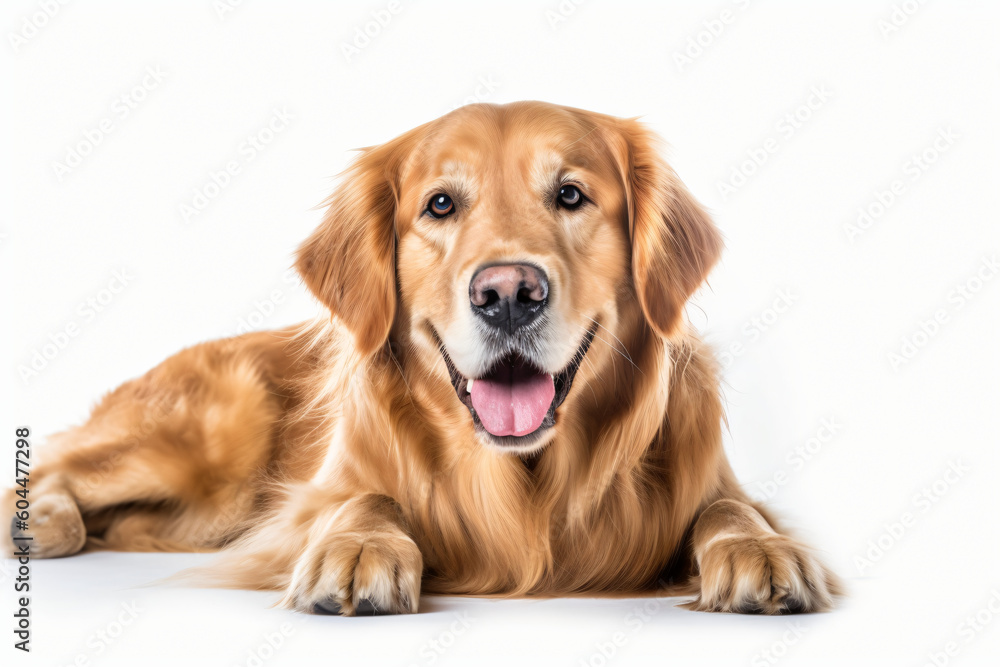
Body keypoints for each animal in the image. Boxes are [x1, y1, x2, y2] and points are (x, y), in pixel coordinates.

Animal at [9, 100, 836, 616]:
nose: (508, 294)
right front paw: (357, 550)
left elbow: (729, 506)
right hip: (206, 453)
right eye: (440, 205)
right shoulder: (298, 509)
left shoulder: (717, 485)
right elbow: (364, 499)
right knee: (48, 466)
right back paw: (40, 521)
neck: (526, 480)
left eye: (571, 195)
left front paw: (763, 551)